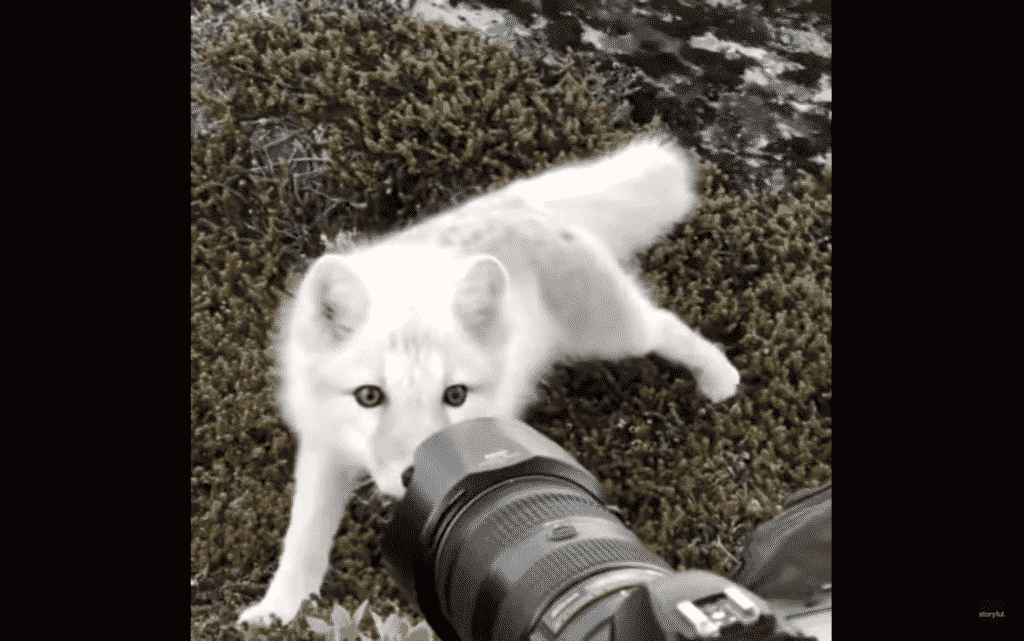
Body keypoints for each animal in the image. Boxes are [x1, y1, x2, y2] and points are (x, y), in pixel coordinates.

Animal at [235, 133, 741, 622]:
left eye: (456, 395)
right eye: (369, 396)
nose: (413, 474)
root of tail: (517, 201)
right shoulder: (322, 446)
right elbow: (302, 539)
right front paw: (278, 611)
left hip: (615, 335)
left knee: (666, 325)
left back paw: (719, 378)